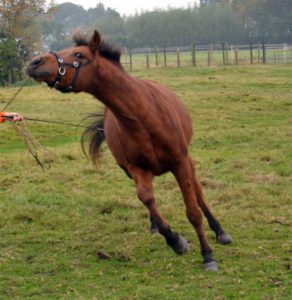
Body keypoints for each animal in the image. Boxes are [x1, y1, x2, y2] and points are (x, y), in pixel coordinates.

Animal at [28, 30, 233, 272]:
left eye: (78, 54)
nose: (35, 63)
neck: (143, 117)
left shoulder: (180, 163)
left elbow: (193, 211)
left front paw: (208, 255)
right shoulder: (136, 168)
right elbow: (145, 197)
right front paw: (175, 240)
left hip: (186, 163)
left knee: (199, 194)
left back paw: (219, 231)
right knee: (150, 200)